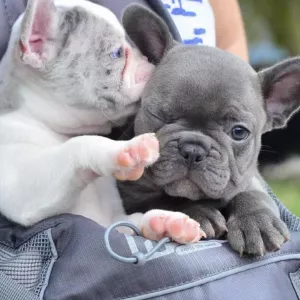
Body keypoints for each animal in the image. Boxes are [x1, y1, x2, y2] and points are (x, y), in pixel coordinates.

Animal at [0, 0, 204, 244]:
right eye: (117, 53)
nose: (148, 60)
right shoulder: (26, 187)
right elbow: (79, 146)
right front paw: (126, 149)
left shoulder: (114, 223)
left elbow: (135, 220)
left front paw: (167, 221)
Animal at [117, 4, 300, 255]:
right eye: (159, 115)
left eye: (239, 132)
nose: (193, 149)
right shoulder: (132, 194)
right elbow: (163, 199)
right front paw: (198, 212)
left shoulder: (251, 178)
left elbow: (253, 194)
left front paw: (256, 221)